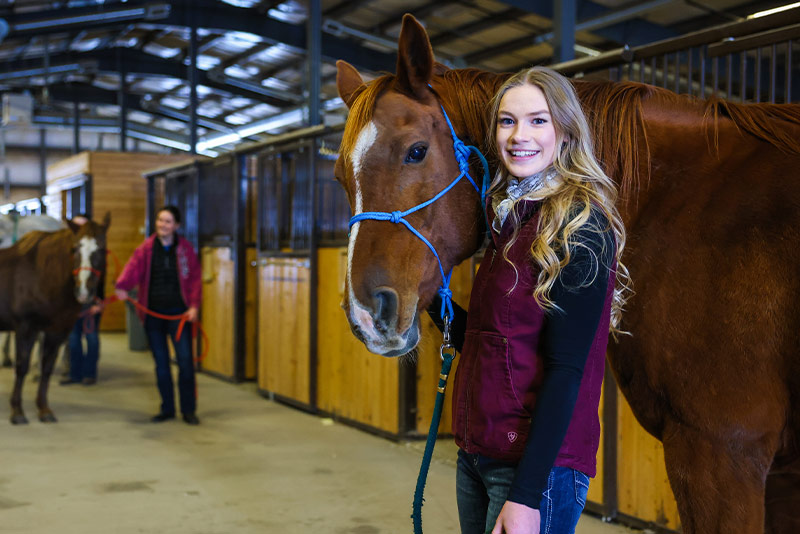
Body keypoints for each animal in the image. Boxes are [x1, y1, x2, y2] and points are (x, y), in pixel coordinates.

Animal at [0, 215, 109, 428]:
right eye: (74, 249)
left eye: (101, 249)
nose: (83, 291)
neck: (41, 274)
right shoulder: (25, 328)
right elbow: (21, 367)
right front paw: (17, 412)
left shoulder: (56, 331)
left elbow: (47, 368)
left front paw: (44, 410)